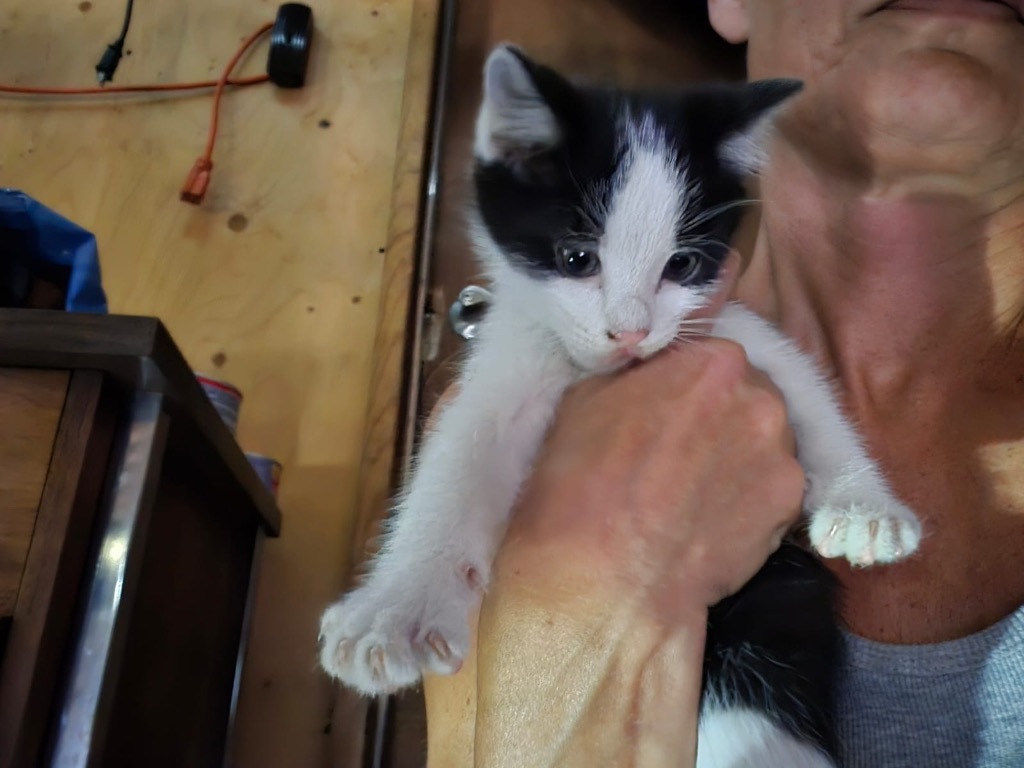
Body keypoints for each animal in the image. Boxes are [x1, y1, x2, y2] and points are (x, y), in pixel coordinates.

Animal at [319, 46, 921, 765]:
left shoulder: (731, 330)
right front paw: (395, 610)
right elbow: (458, 467)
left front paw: (865, 507)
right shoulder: (505, 371)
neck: (589, 369)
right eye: (577, 257)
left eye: (682, 264)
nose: (630, 332)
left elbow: (806, 386)